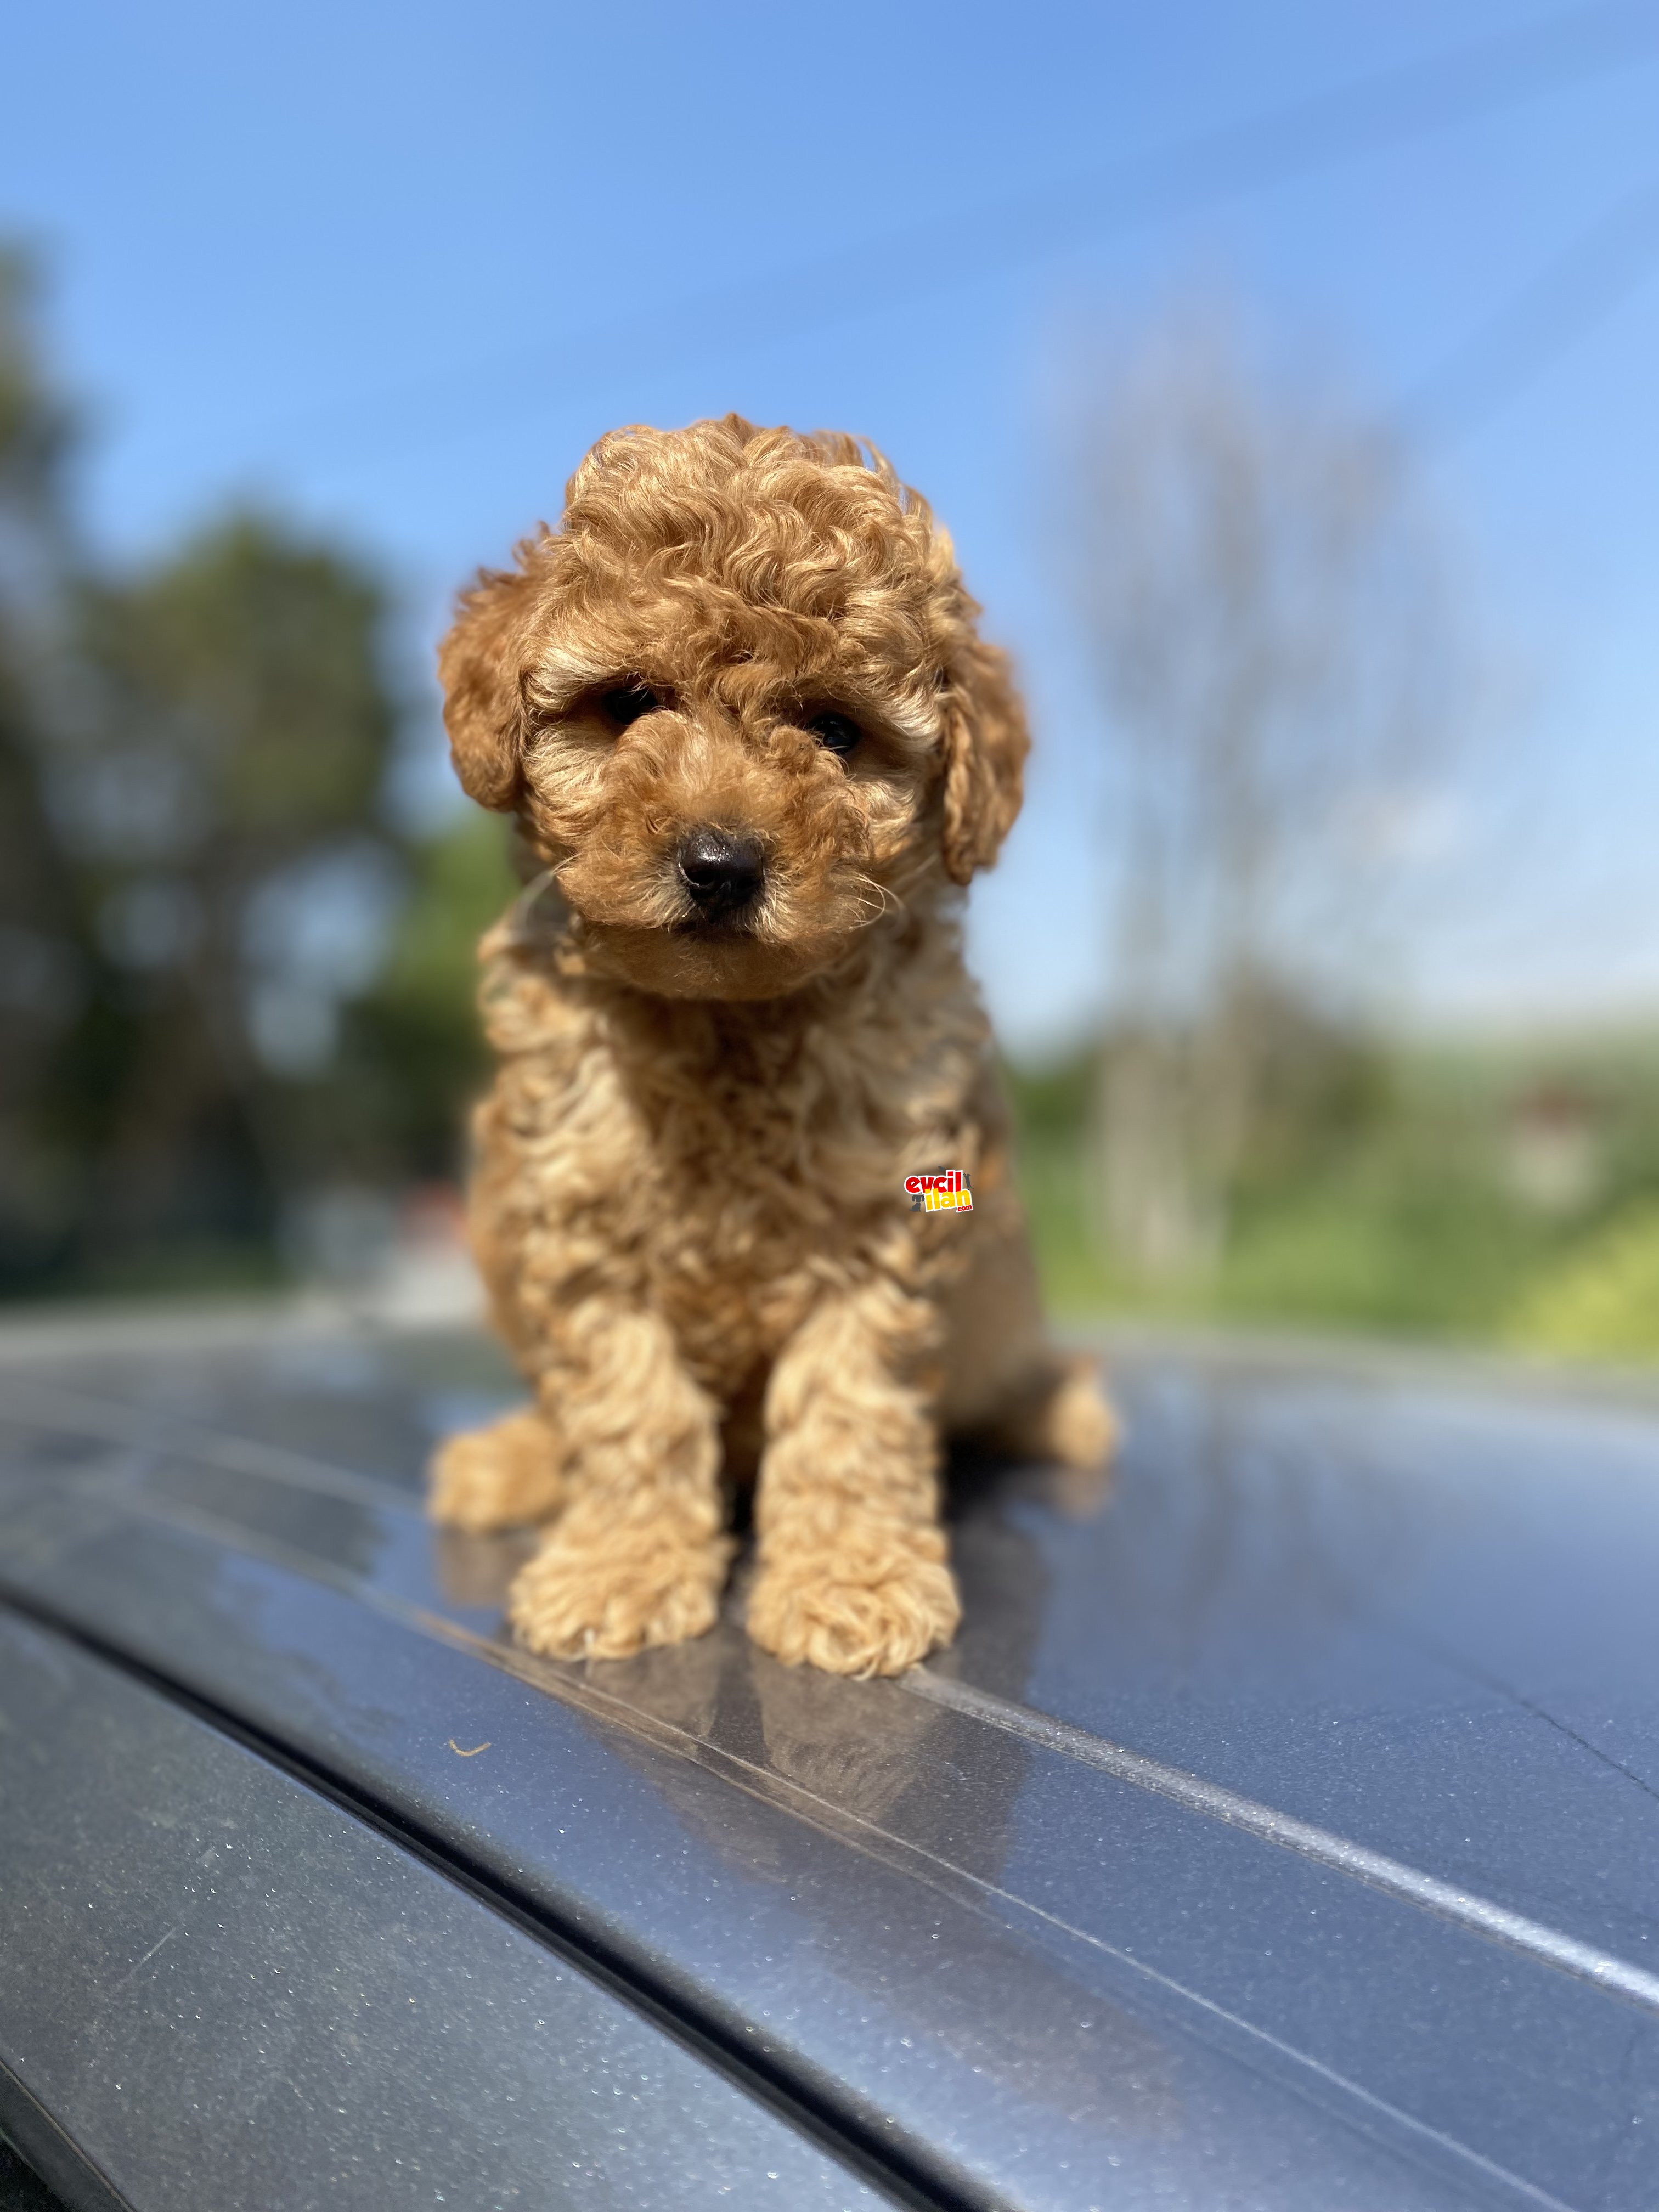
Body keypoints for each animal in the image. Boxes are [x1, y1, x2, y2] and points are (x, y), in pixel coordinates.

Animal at [431, 416, 1119, 1672]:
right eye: (629, 703)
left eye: (836, 731)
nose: (720, 863)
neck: (730, 1023)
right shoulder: (580, 1214)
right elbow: (628, 1405)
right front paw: (621, 1568)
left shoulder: (884, 1222)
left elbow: (847, 1413)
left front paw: (849, 1583)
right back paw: (511, 1459)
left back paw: (1063, 1410)